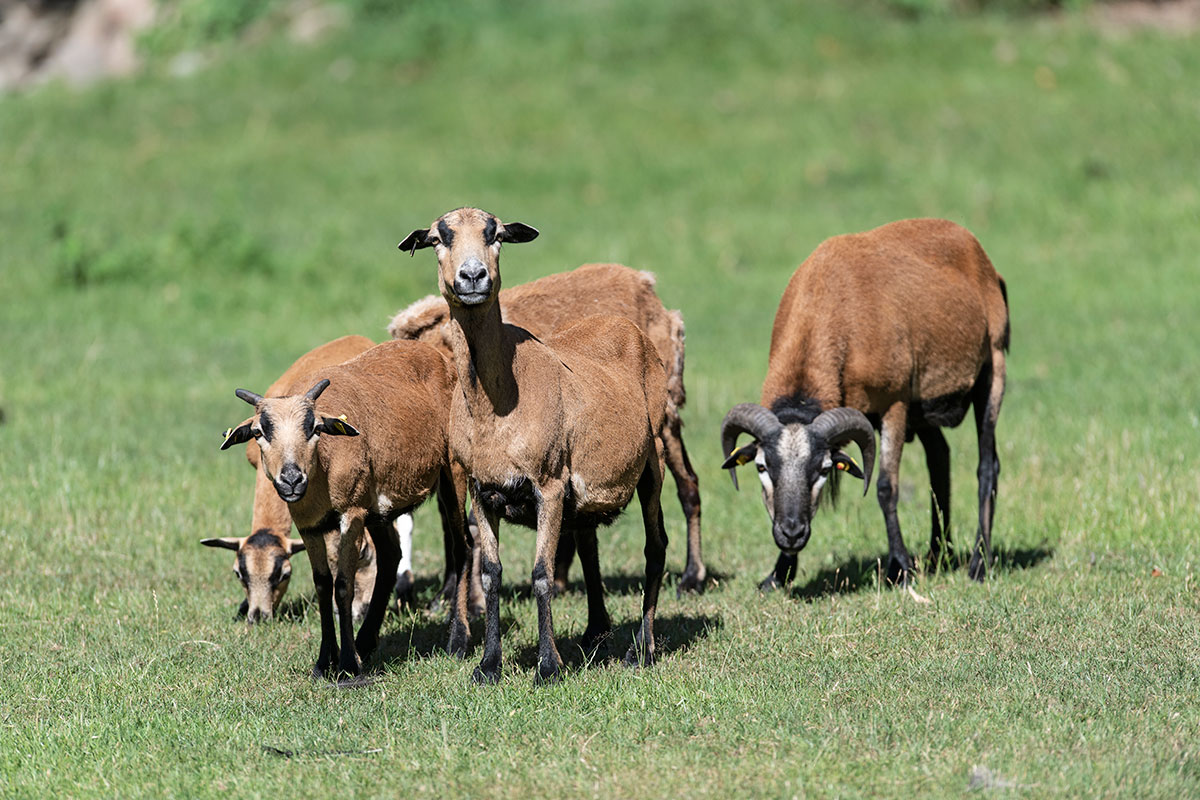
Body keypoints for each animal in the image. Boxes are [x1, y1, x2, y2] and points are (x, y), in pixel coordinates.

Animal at [222, 340, 472, 681]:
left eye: (315, 428)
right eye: (259, 432)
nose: (291, 480)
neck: (322, 469)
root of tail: (432, 352)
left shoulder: (351, 513)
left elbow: (343, 586)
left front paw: (347, 667)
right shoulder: (309, 525)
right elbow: (322, 585)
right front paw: (324, 662)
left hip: (453, 470)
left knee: (462, 547)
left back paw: (458, 641)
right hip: (378, 506)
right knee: (391, 555)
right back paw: (366, 642)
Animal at [398, 205, 672, 681]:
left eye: (495, 234)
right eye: (438, 238)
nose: (473, 276)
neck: (495, 402)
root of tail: (624, 324)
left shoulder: (549, 485)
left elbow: (542, 574)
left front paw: (548, 666)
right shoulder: (481, 489)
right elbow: (490, 574)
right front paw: (488, 665)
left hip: (652, 455)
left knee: (655, 548)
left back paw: (643, 649)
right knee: (590, 543)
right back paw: (595, 631)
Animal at [720, 219, 1012, 587]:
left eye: (824, 469)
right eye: (761, 466)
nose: (792, 533)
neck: (825, 303)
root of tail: (985, 261)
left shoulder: (895, 402)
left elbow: (886, 487)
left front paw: (900, 568)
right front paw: (777, 575)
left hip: (992, 368)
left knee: (987, 466)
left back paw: (979, 564)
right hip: (923, 408)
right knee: (940, 458)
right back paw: (936, 556)